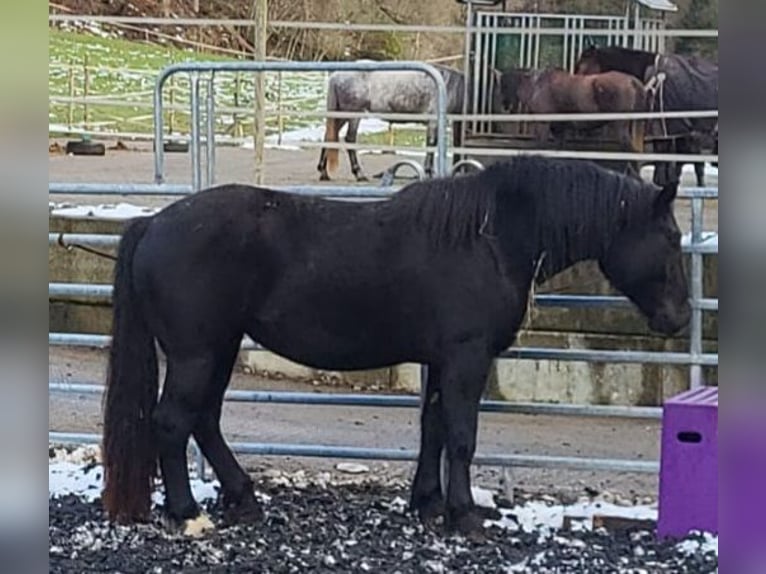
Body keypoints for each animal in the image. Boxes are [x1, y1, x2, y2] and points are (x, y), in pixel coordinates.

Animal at [99, 154, 692, 540]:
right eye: (671, 238)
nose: (680, 318)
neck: (490, 238)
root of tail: (152, 224)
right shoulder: (466, 358)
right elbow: (461, 436)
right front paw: (464, 516)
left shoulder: (442, 361)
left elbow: (433, 430)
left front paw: (427, 504)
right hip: (196, 354)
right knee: (173, 423)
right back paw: (186, 513)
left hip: (217, 349)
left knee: (204, 421)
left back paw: (243, 500)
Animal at [316, 62, 464, 181]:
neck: (446, 86)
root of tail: (336, 76)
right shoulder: (433, 122)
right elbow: (431, 145)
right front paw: (428, 173)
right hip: (353, 115)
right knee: (350, 139)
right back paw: (359, 174)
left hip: (342, 116)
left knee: (328, 136)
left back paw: (324, 173)